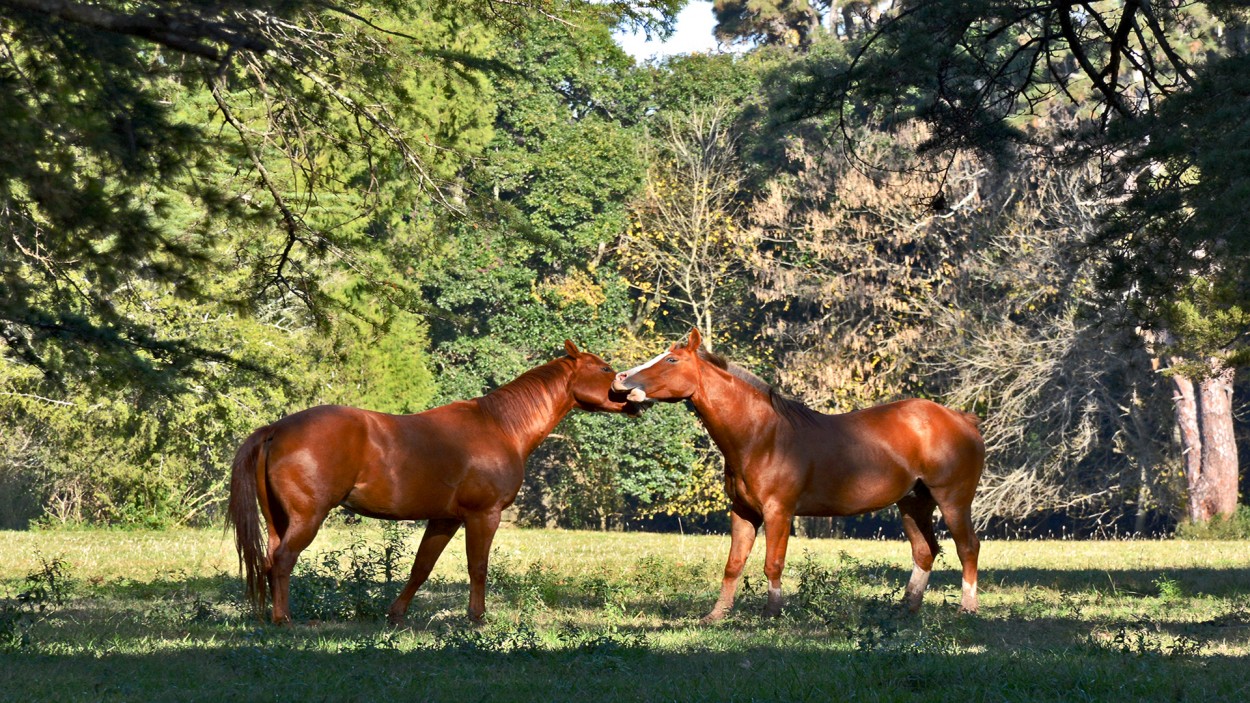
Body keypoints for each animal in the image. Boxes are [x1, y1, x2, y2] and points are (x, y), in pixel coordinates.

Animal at [227, 342, 635, 620]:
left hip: (279, 520)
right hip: (307, 518)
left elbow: (421, 567)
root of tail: (276, 429)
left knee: (269, 561)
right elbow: (478, 567)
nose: (632, 398)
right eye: (604, 368)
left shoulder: (445, 519)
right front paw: (476, 619)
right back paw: (284, 620)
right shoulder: (483, 515)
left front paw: (395, 615)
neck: (499, 426)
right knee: (282, 561)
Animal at [617, 330, 985, 617]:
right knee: (925, 551)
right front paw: (716, 615)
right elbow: (734, 564)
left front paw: (772, 613)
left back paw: (966, 608)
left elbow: (773, 563)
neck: (761, 435)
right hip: (913, 503)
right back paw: (906, 609)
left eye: (671, 360)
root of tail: (962, 419)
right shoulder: (743, 511)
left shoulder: (779, 511)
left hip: (953, 500)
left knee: (967, 547)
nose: (621, 378)